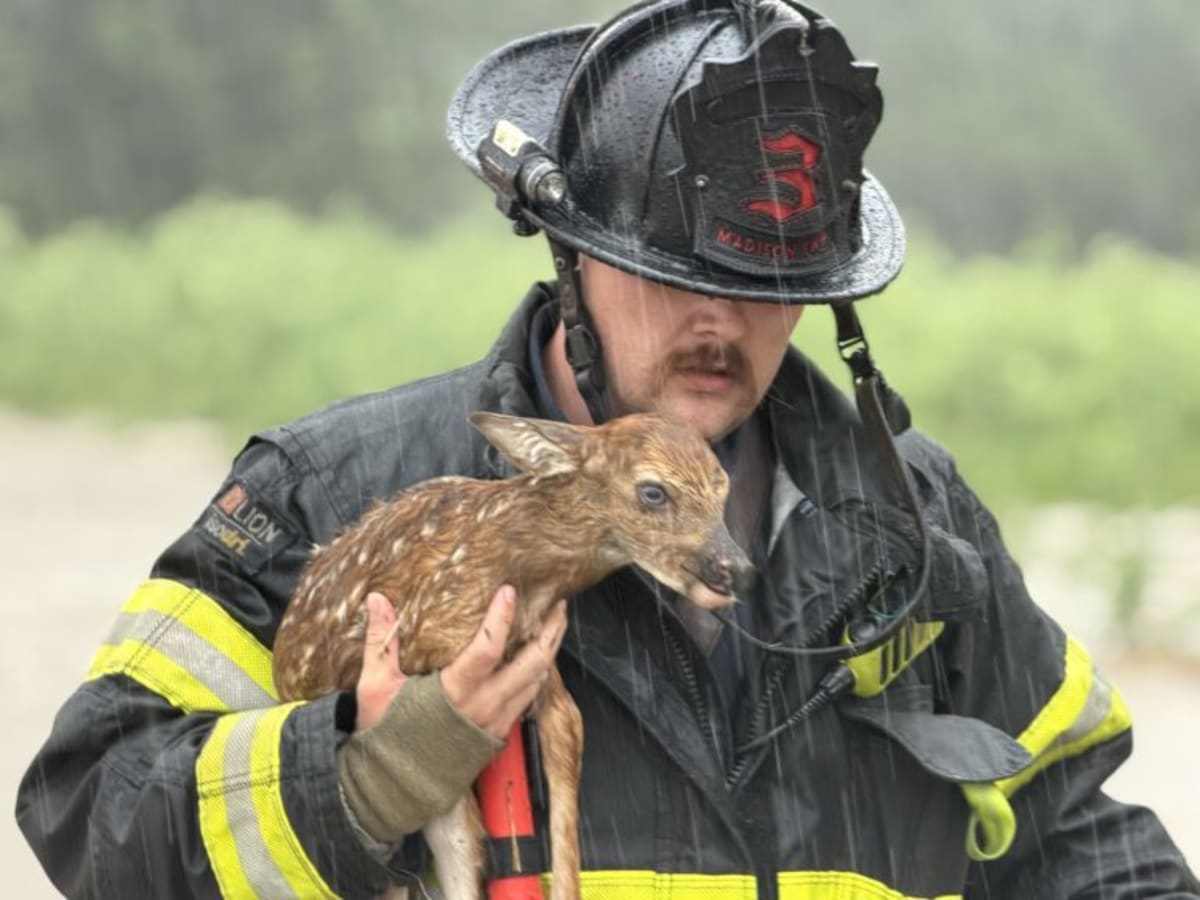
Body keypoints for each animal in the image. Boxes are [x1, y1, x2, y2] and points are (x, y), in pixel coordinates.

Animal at [272, 411, 753, 900]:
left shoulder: (534, 649)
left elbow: (568, 733)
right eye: (653, 491)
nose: (735, 568)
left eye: (723, 487)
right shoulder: (434, 635)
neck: (521, 561)